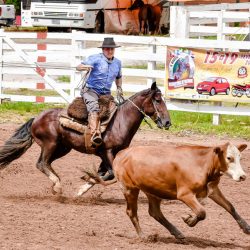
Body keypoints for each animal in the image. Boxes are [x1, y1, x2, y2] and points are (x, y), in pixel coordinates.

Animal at [0, 83, 170, 196]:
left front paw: (83, 187)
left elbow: (104, 173)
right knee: (41, 163)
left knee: (46, 163)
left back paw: (57, 186)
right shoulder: (107, 151)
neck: (120, 121)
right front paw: (87, 179)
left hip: (63, 148)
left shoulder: (107, 154)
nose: (167, 122)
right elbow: (111, 174)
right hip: (50, 144)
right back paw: (57, 185)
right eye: (158, 100)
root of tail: (36, 118)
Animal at [87, 143, 249, 238]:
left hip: (152, 190)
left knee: (155, 212)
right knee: (131, 212)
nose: (242, 176)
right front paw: (189, 220)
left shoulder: (213, 190)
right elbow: (202, 212)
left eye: (240, 157)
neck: (203, 164)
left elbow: (230, 207)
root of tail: (121, 154)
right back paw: (143, 236)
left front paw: (246, 227)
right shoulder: (185, 194)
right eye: (229, 158)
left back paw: (176, 232)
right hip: (130, 189)